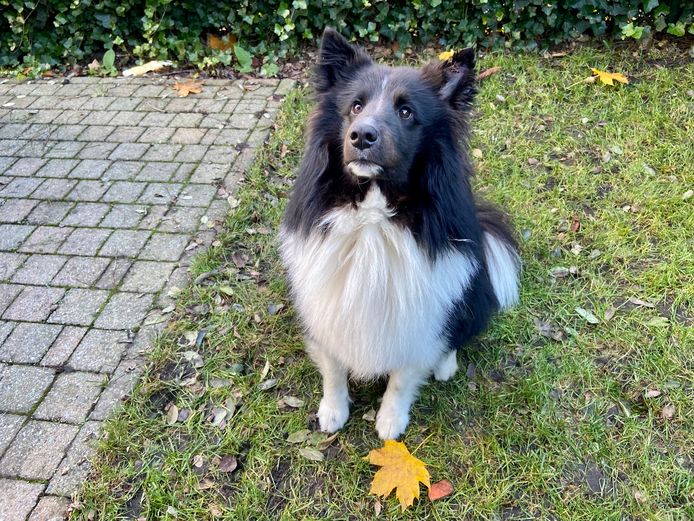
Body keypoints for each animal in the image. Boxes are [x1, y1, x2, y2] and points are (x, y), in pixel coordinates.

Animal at [280, 29, 520, 438]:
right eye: (355, 106)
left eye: (406, 112)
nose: (362, 136)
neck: (374, 215)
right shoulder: (326, 302)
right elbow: (333, 367)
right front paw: (333, 409)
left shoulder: (420, 315)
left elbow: (403, 377)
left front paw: (390, 420)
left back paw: (445, 365)